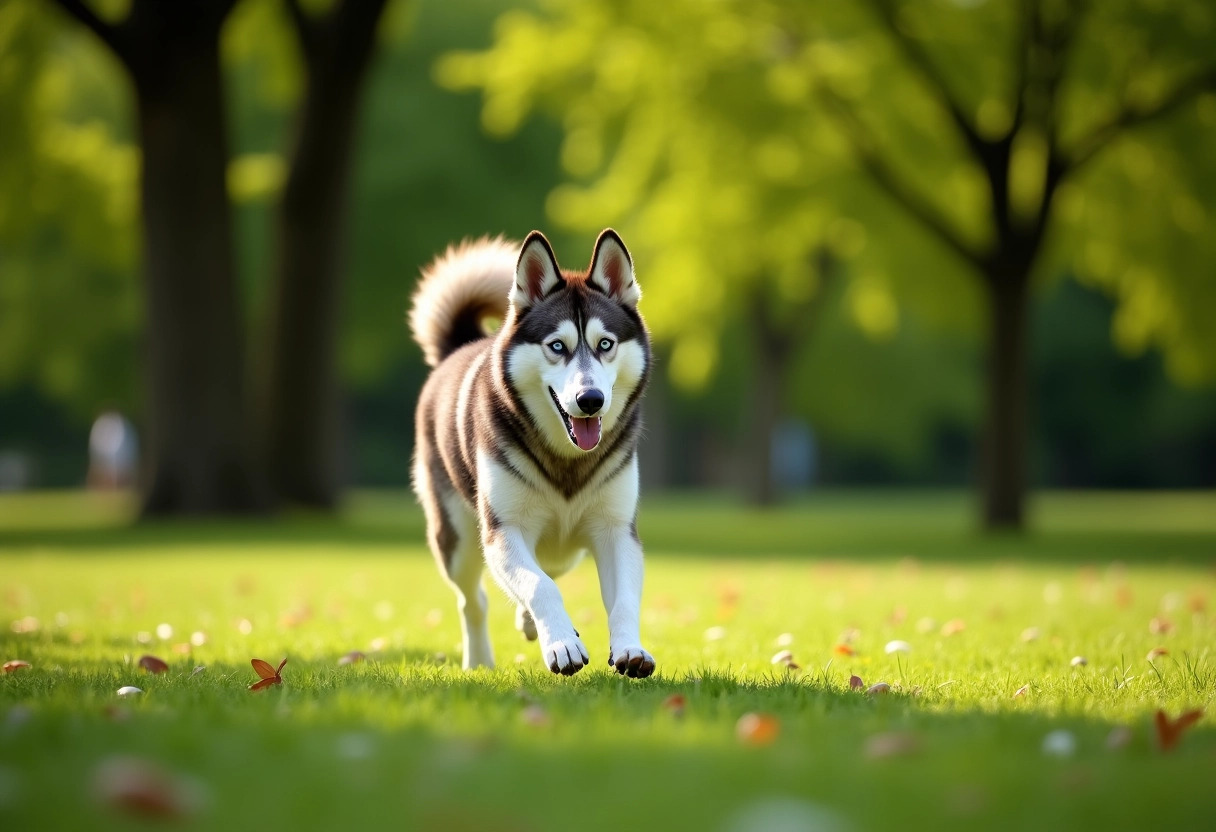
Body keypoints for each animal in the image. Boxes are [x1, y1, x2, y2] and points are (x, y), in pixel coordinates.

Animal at [411, 227, 656, 676]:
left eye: (605, 344)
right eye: (557, 346)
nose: (590, 399)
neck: (567, 461)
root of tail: (459, 348)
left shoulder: (616, 530)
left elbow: (623, 601)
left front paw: (631, 649)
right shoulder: (504, 530)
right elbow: (539, 585)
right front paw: (562, 645)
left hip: (564, 549)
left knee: (548, 568)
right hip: (456, 538)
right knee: (474, 600)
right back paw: (480, 660)